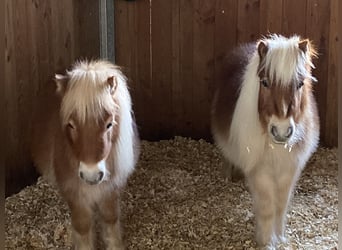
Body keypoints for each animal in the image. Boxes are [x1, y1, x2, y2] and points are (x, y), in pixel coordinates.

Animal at [30, 59, 140, 249]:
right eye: (71, 125)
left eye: (109, 124)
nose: (91, 176)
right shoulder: (74, 193)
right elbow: (82, 227)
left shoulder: (111, 189)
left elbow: (110, 219)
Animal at [212, 34, 320, 247]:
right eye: (265, 82)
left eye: (300, 84)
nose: (281, 132)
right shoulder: (260, 171)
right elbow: (267, 207)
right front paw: (266, 242)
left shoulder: (289, 169)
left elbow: (281, 205)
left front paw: (280, 237)